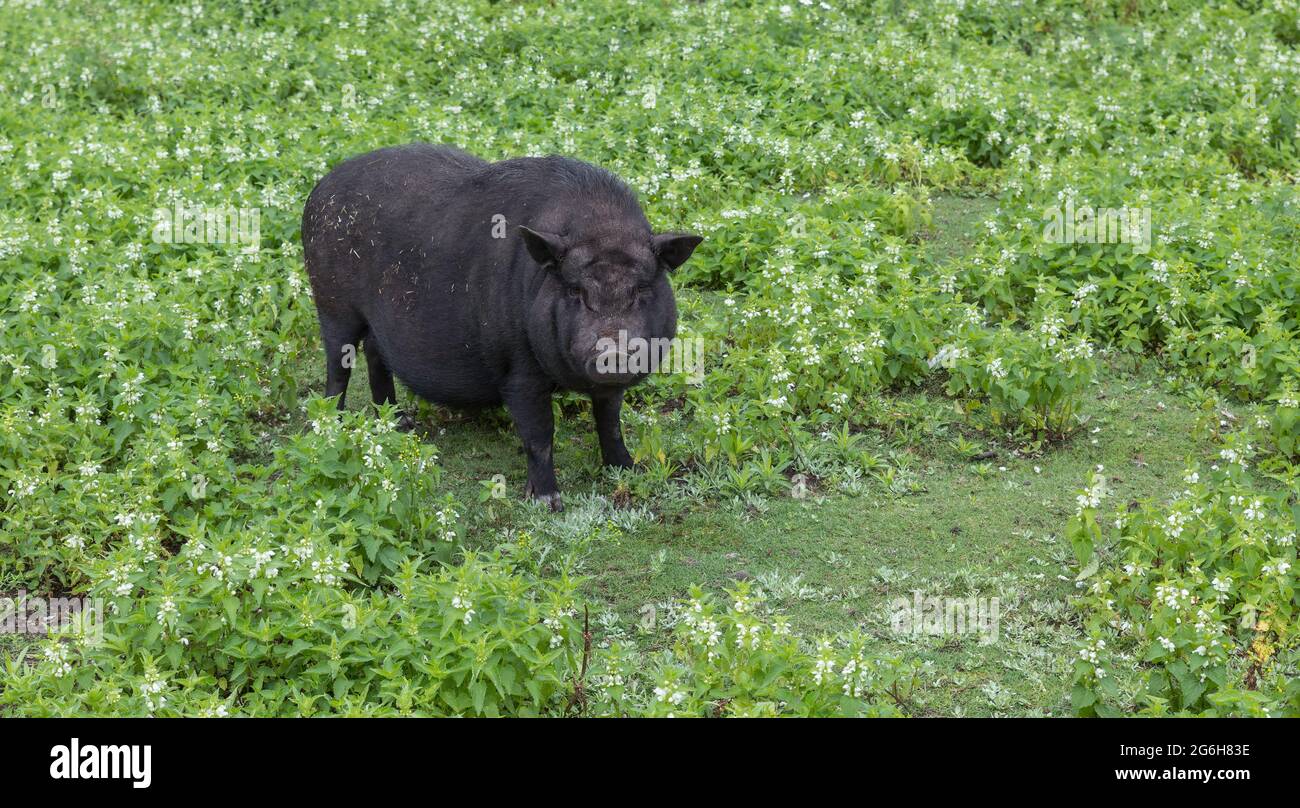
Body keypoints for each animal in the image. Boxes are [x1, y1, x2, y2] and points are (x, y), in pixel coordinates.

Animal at [301, 144, 702, 511]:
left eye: (641, 289)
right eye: (575, 290)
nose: (614, 350)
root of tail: (320, 187)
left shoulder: (607, 388)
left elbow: (609, 420)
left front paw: (627, 469)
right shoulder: (517, 367)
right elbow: (540, 434)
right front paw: (547, 503)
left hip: (373, 323)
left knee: (375, 356)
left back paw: (400, 425)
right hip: (332, 303)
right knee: (338, 367)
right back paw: (332, 427)